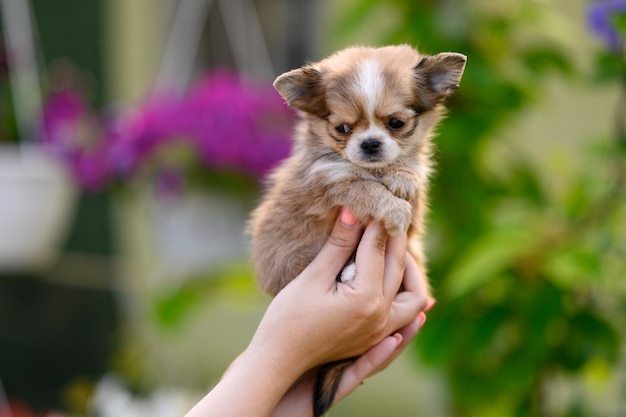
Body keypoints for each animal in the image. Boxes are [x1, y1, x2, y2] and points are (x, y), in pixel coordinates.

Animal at [247, 44, 464, 414]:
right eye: (344, 128)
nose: (370, 144)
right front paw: (394, 207)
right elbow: (364, 189)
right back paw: (348, 272)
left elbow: (405, 176)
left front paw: (402, 175)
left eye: (396, 124)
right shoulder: (330, 183)